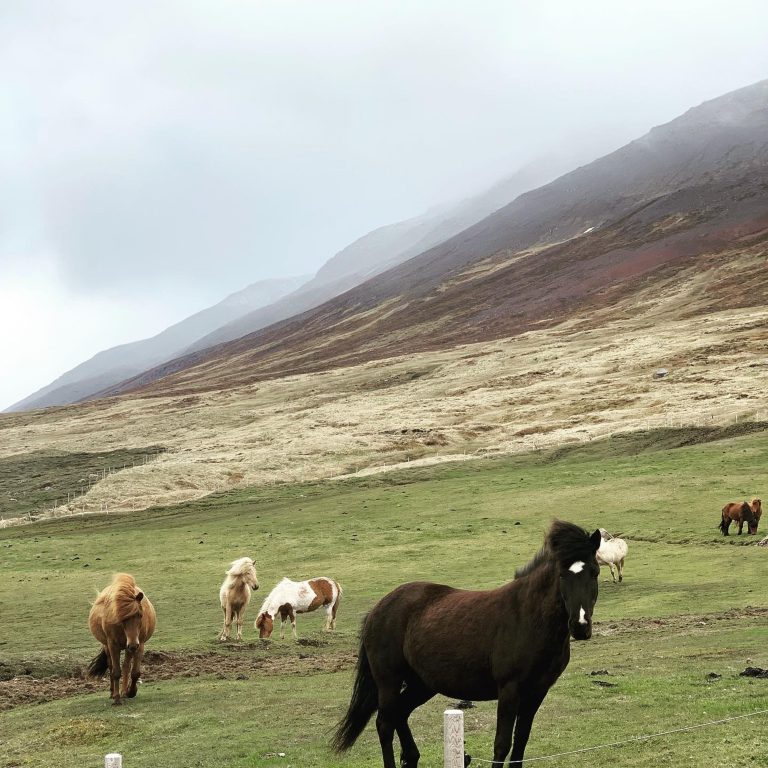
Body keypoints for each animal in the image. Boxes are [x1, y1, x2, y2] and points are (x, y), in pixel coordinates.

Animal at [87, 572, 156, 704]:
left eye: (140, 615)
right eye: (122, 619)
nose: (133, 644)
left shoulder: (140, 645)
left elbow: (134, 672)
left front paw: (131, 692)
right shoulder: (113, 645)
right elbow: (116, 672)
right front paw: (117, 699)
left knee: (126, 666)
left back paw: (124, 692)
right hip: (109, 646)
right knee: (111, 666)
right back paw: (113, 693)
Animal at [332, 520, 604, 764]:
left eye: (594, 572)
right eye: (562, 574)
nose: (580, 626)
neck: (528, 617)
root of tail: (377, 608)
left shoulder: (537, 692)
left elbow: (520, 743)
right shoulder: (509, 690)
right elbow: (502, 745)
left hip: (422, 683)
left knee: (400, 714)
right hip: (388, 680)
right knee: (385, 724)